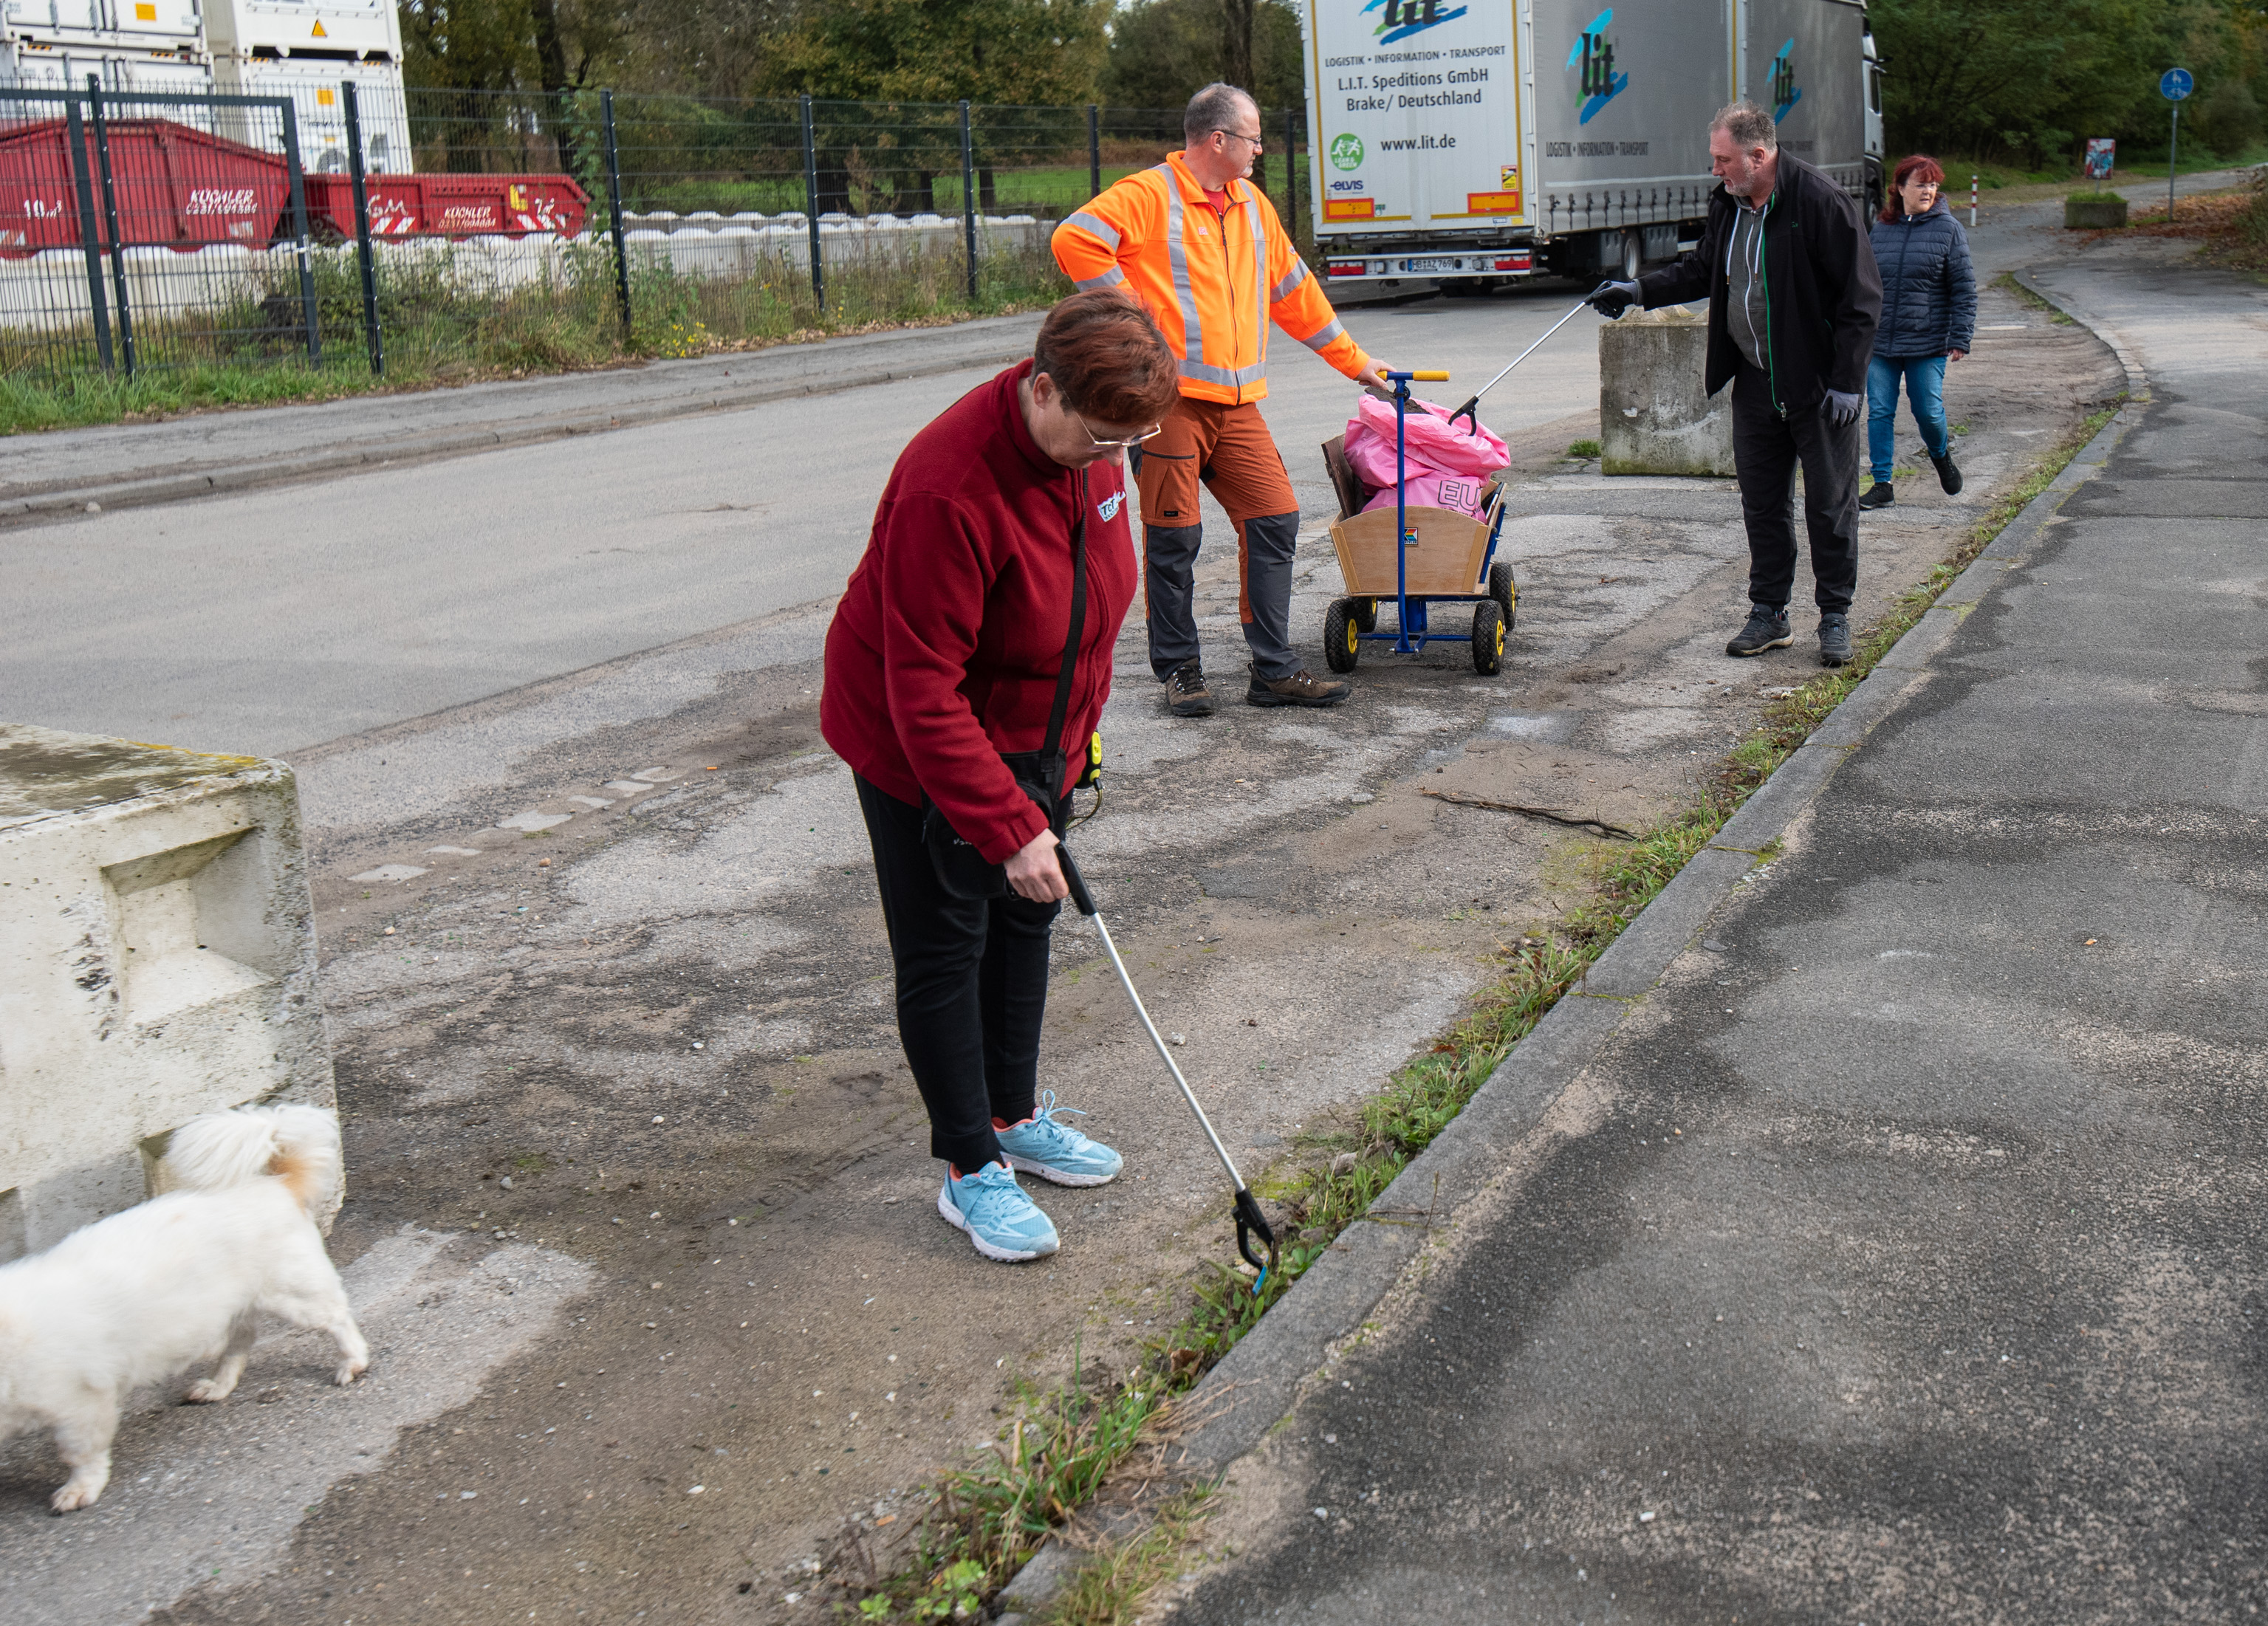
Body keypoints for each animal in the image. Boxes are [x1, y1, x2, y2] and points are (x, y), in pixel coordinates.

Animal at [0, 1102, 367, 1506]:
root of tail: (274, 1184)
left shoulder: (82, 1405)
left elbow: (81, 1455)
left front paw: (81, 1489)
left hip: (295, 1297)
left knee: (338, 1320)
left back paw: (353, 1363)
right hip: (232, 1310)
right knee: (241, 1343)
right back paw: (219, 1386)